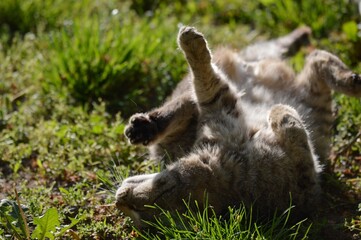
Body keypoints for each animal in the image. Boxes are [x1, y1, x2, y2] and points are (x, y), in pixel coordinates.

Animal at [114, 25, 360, 227]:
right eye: (136, 212)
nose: (119, 201)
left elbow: (204, 79)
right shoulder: (308, 187)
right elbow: (291, 128)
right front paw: (280, 113)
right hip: (316, 101)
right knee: (317, 59)